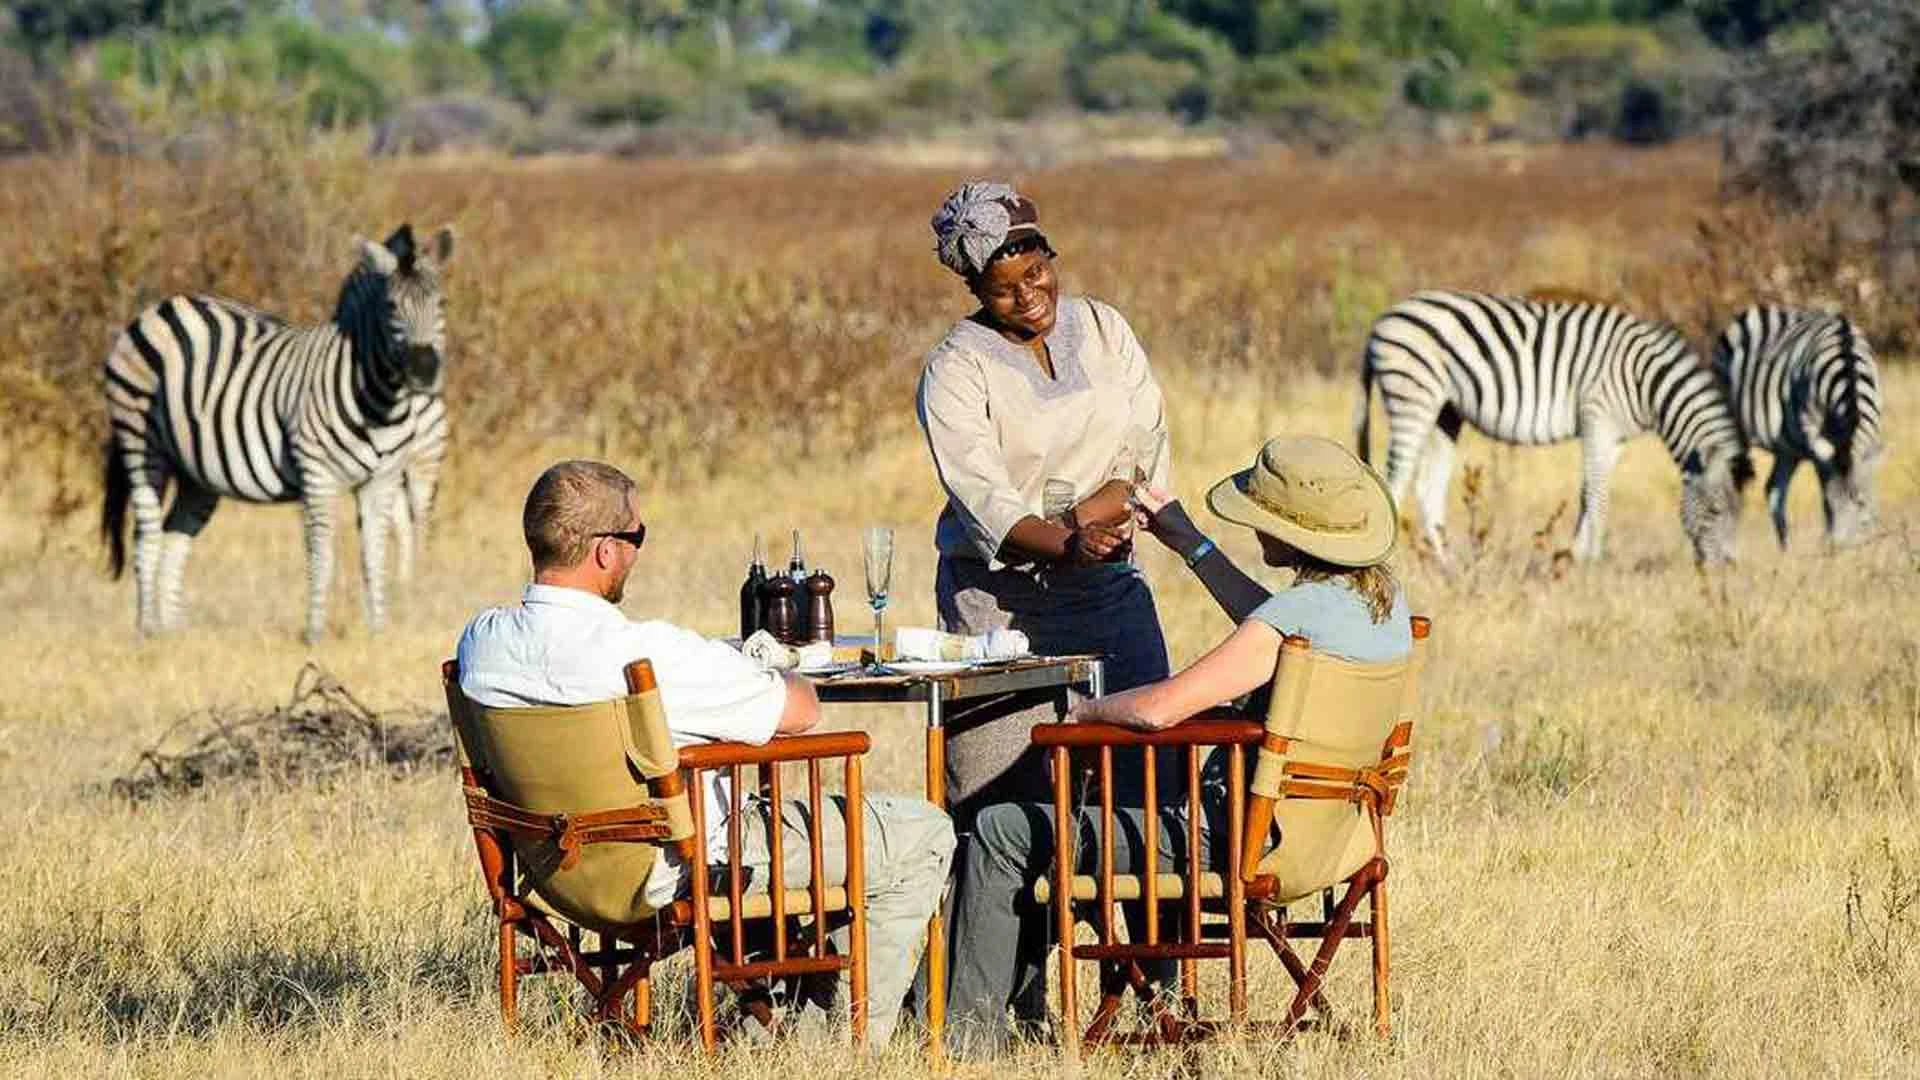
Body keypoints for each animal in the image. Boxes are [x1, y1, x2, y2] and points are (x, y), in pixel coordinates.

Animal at [102, 220, 456, 638]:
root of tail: (161, 307)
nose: (424, 370)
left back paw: (174, 632)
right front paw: (315, 633)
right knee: (147, 533)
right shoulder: (317, 474)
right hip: (140, 439)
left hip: (197, 472)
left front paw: (378, 631)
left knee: (176, 533)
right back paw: (147, 631)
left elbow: (374, 555)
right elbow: (322, 553)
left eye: (441, 304)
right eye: (391, 307)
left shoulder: (382, 480)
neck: (381, 399)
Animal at [1351, 290, 1758, 568]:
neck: (1647, 382)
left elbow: (1587, 492)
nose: (1726, 569)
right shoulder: (1596, 418)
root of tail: (1382, 320)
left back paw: (1447, 564)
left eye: (1740, 514)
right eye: (1716, 511)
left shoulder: (1614, 437)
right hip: (1413, 395)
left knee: (1428, 486)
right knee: (1395, 478)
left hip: (1445, 411)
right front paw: (1593, 563)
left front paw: (1575, 558)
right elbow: (1598, 495)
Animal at [1712, 307, 1889, 549]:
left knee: (1774, 490)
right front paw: (1829, 539)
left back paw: (1787, 549)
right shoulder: (1813, 432)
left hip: (1787, 448)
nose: (1844, 548)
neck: (1846, 359)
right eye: (1833, 503)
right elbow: (1824, 487)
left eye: (1860, 501)